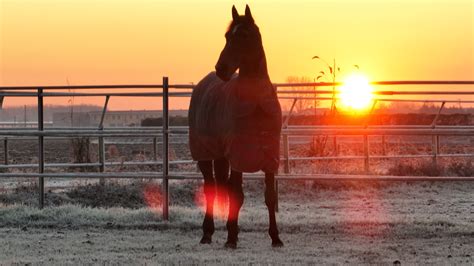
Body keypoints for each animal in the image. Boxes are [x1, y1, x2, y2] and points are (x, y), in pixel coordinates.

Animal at [188, 5, 284, 248]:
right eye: (226, 36)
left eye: (244, 35)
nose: (221, 68)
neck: (256, 104)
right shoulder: (239, 155)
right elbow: (237, 195)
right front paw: (230, 238)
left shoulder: (270, 157)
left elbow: (270, 197)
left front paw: (276, 237)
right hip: (205, 154)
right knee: (211, 189)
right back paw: (208, 233)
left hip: (222, 156)